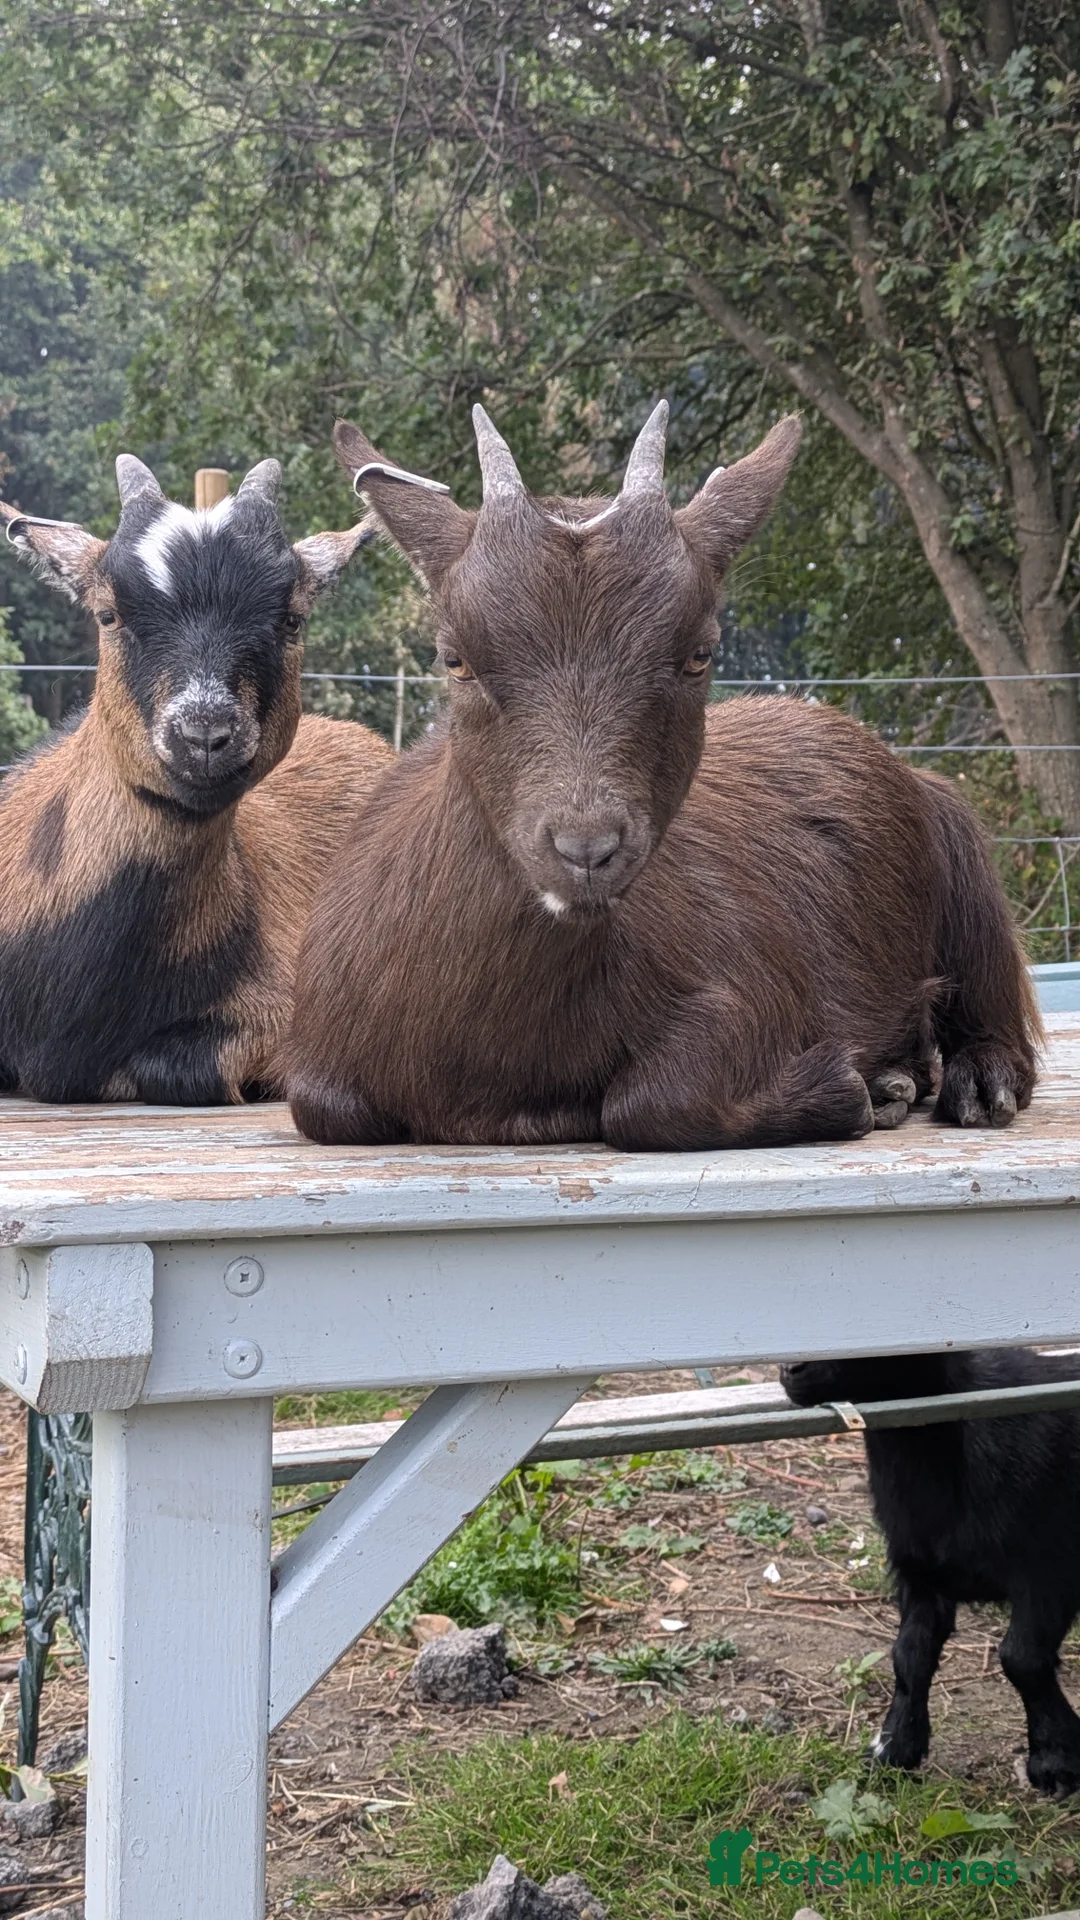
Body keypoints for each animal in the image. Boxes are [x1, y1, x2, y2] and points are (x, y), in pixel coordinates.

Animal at [288, 402, 1039, 1148]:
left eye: (699, 653)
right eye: (456, 658)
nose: (586, 851)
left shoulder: (746, 980)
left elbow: (651, 1102)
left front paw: (845, 1088)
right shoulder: (319, 1063)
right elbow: (323, 1107)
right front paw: (863, 1087)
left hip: (958, 848)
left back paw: (976, 1081)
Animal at [781, 1351, 1080, 1798]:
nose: (791, 1370)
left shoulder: (1048, 1566)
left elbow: (1021, 1657)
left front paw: (1056, 1760)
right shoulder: (921, 1573)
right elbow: (908, 1657)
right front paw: (894, 1747)